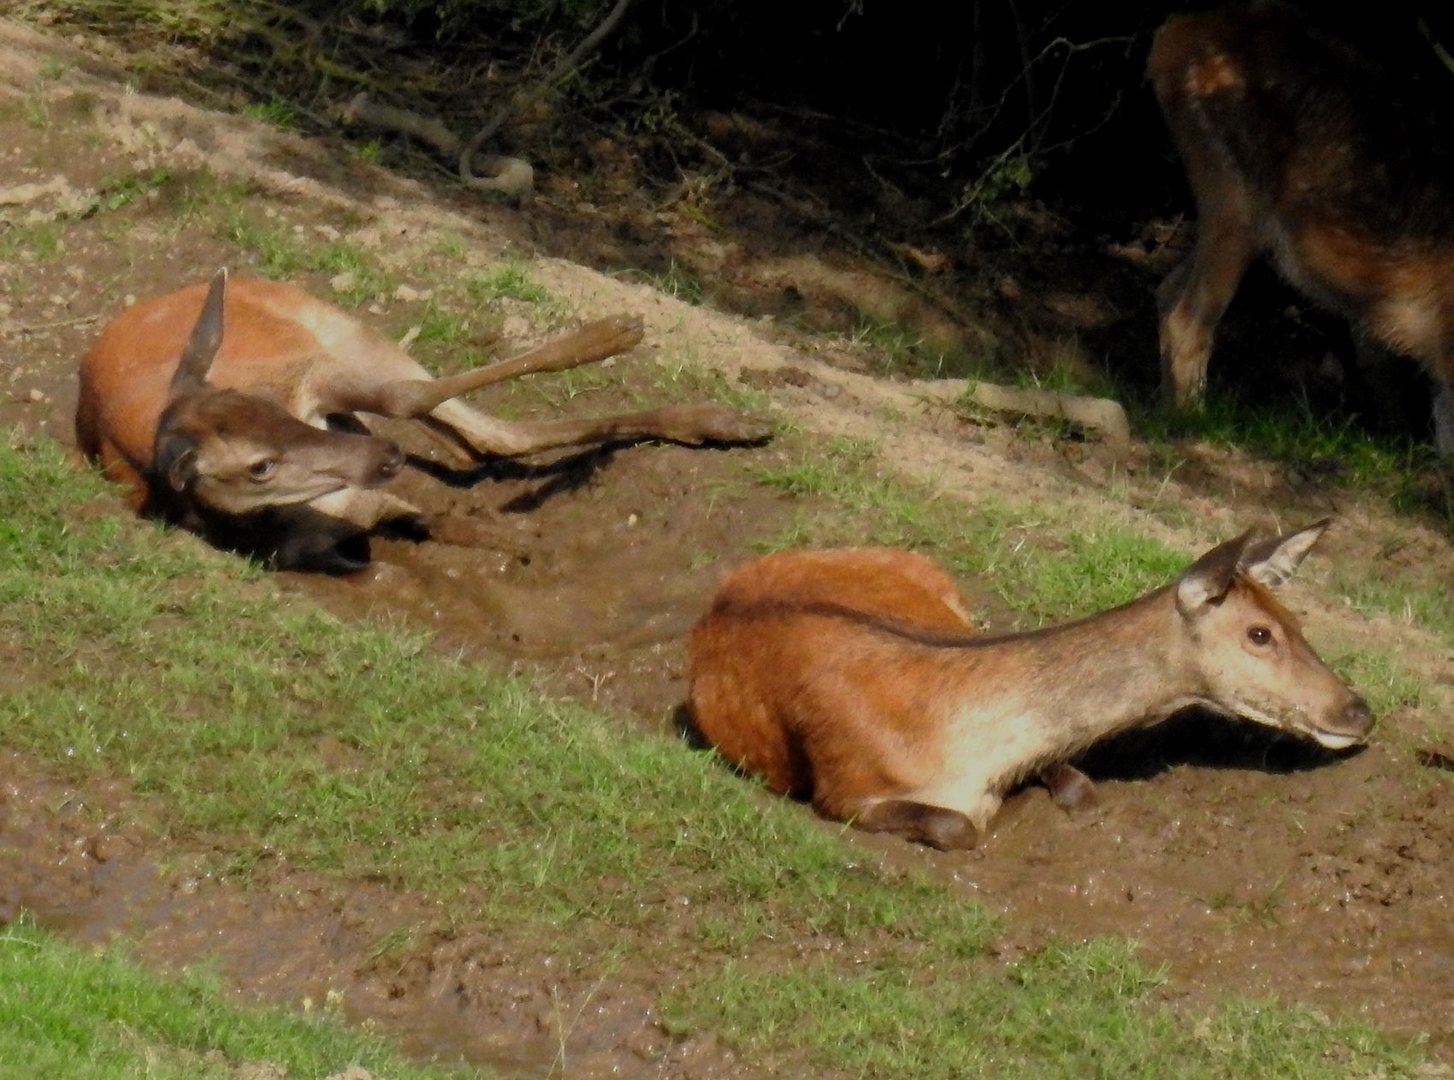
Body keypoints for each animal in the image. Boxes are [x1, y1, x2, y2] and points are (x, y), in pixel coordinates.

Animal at [76, 271, 773, 575]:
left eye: (270, 412)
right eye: (258, 466)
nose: (382, 458)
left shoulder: (315, 376)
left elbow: (409, 400)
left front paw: (612, 332)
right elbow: (437, 515)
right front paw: (515, 540)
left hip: (343, 330)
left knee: (466, 427)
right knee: (479, 444)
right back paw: (719, 419)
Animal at [689, 523, 1372, 854]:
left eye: (1297, 620)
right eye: (1260, 633)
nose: (1358, 709)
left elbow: (1077, 786)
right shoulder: (842, 788)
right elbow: (959, 827)